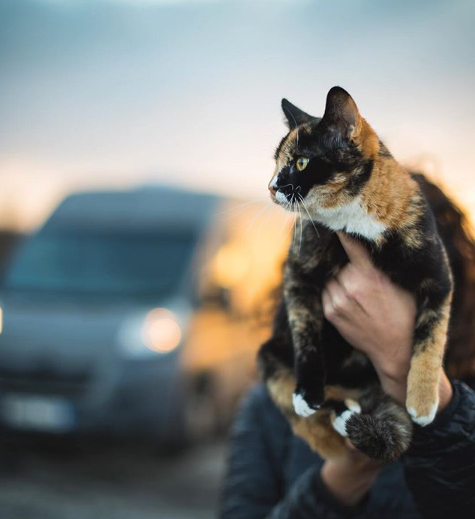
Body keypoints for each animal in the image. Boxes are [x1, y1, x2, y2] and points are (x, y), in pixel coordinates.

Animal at [258, 86, 456, 464]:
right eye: (276, 162)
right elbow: (306, 334)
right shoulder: (298, 274)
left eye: (301, 162)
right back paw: (337, 409)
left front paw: (423, 403)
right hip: (268, 355)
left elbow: (431, 337)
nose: (271, 186)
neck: (353, 221)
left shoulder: (438, 278)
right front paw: (307, 392)